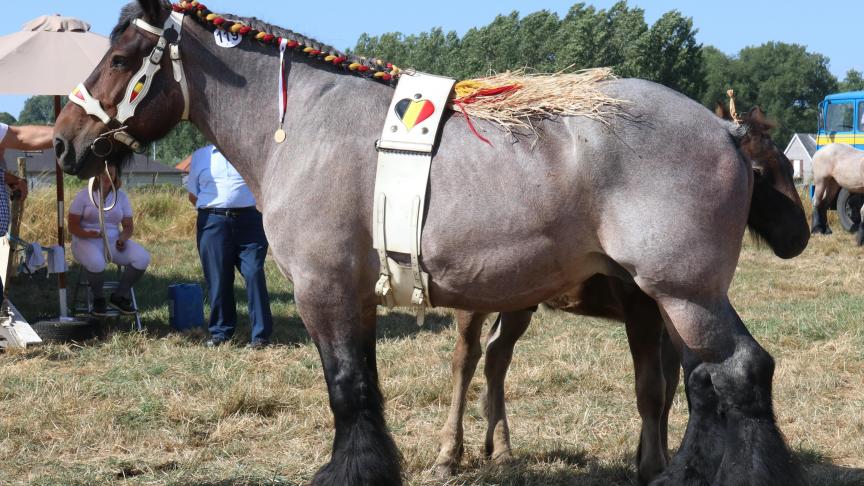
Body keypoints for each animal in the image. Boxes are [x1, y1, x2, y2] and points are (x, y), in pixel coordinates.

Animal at [438, 105, 808, 482]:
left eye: (789, 166)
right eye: (758, 172)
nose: (798, 237)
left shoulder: (668, 318)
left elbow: (671, 388)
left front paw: (655, 455)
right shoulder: (641, 312)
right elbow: (652, 389)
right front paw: (650, 464)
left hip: (519, 303)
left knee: (497, 356)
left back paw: (500, 449)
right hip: (475, 302)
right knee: (466, 359)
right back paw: (449, 453)